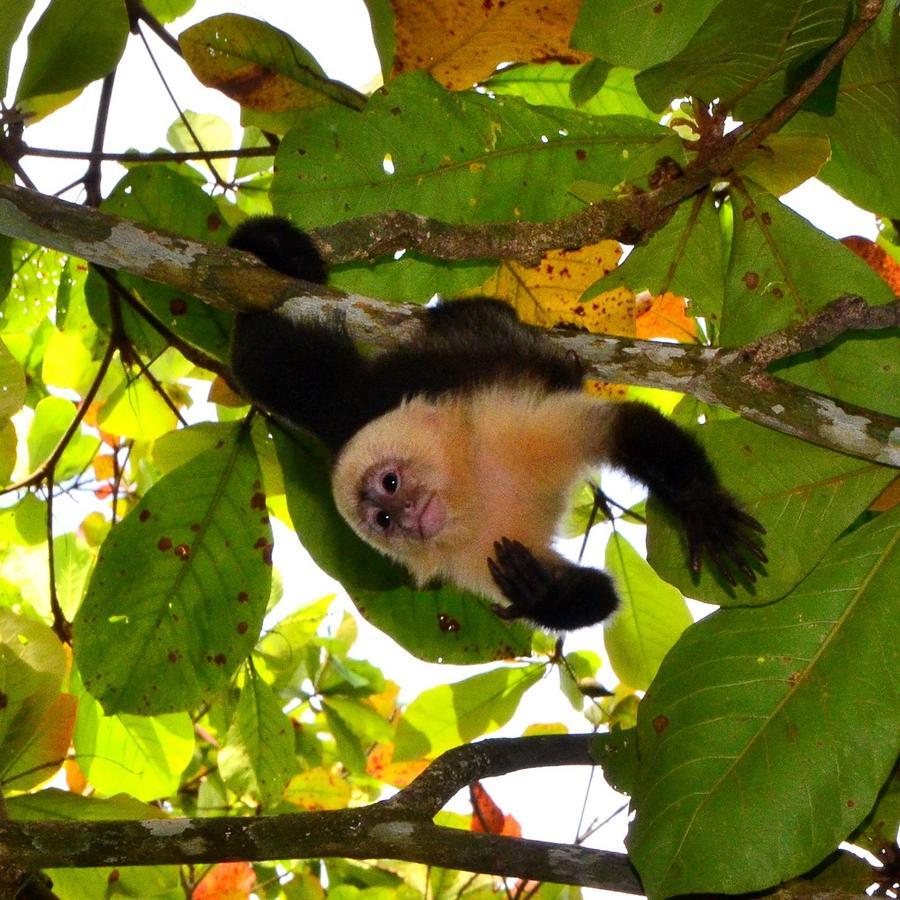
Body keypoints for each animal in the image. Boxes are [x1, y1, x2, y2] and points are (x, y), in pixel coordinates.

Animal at [229, 215, 764, 628]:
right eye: (382, 519)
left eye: (390, 483)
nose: (406, 516)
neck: (473, 490)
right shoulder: (472, 560)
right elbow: (598, 595)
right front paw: (538, 595)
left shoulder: (506, 426)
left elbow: (623, 427)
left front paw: (701, 509)